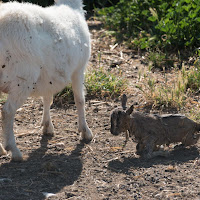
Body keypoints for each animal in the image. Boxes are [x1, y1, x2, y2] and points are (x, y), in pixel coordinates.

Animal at [0, 0, 92, 160]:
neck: (71, 6)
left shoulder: (48, 76)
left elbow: (47, 99)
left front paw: (47, 126)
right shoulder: (79, 69)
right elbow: (80, 100)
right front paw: (85, 131)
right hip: (23, 78)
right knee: (7, 112)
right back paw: (15, 151)